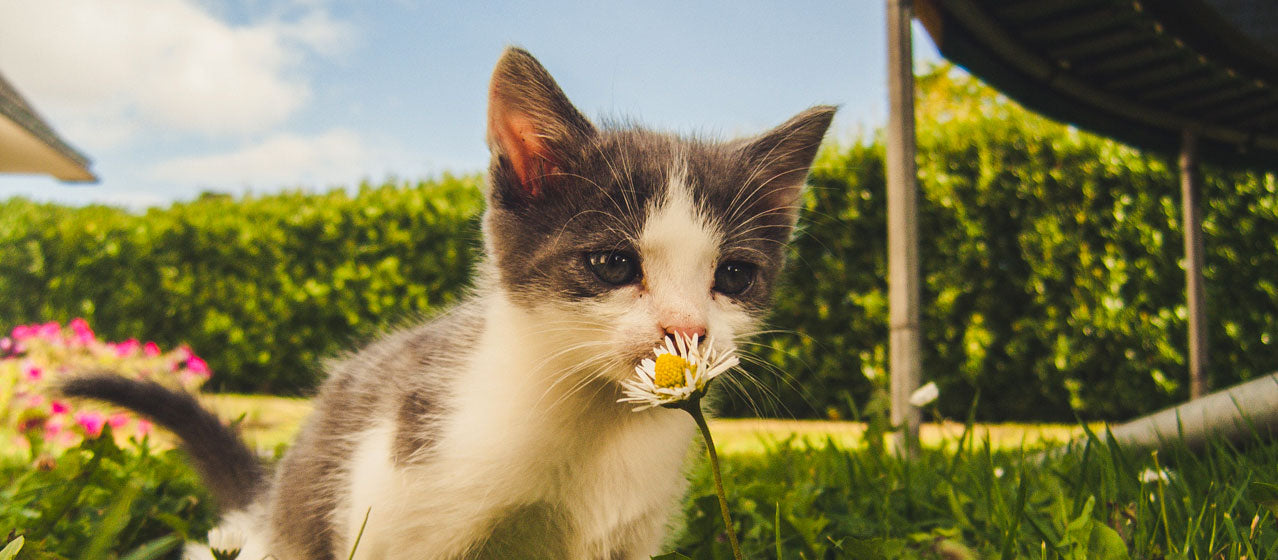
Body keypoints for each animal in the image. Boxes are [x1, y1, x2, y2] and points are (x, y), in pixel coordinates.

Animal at [64, 48, 833, 560]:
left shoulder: (627, 537)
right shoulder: (397, 506)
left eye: (734, 276)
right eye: (613, 263)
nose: (687, 330)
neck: (595, 424)